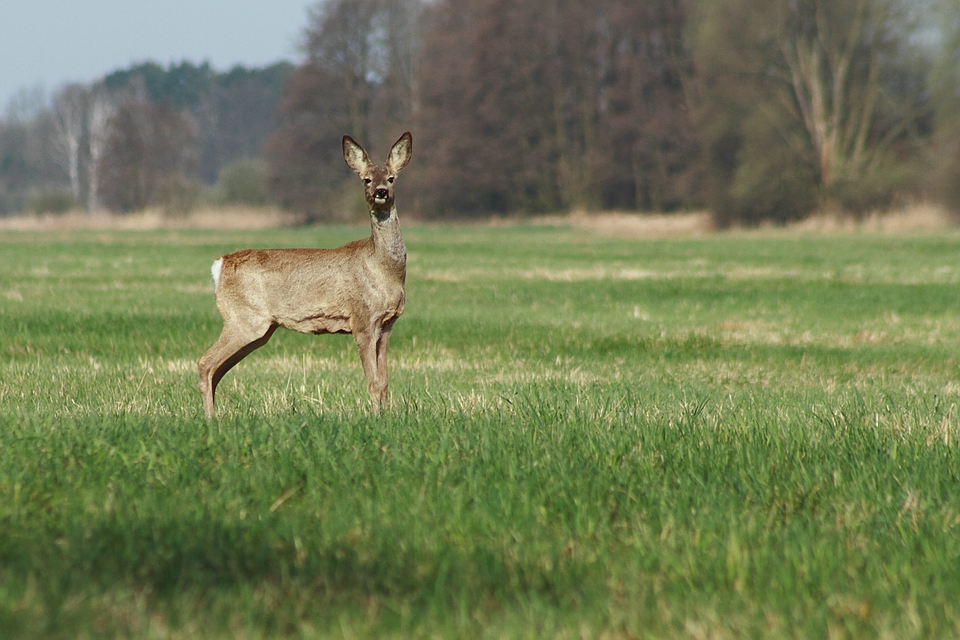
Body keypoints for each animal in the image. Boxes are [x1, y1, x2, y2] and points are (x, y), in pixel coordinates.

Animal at [199, 132, 412, 418]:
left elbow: (385, 381)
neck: (383, 268)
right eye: (366, 179)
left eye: (391, 178)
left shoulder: (387, 324)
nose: (381, 192)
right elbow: (373, 381)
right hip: (243, 319)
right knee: (205, 364)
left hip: (258, 329)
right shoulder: (362, 320)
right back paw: (210, 419)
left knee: (217, 369)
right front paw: (377, 418)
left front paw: (387, 416)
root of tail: (220, 264)